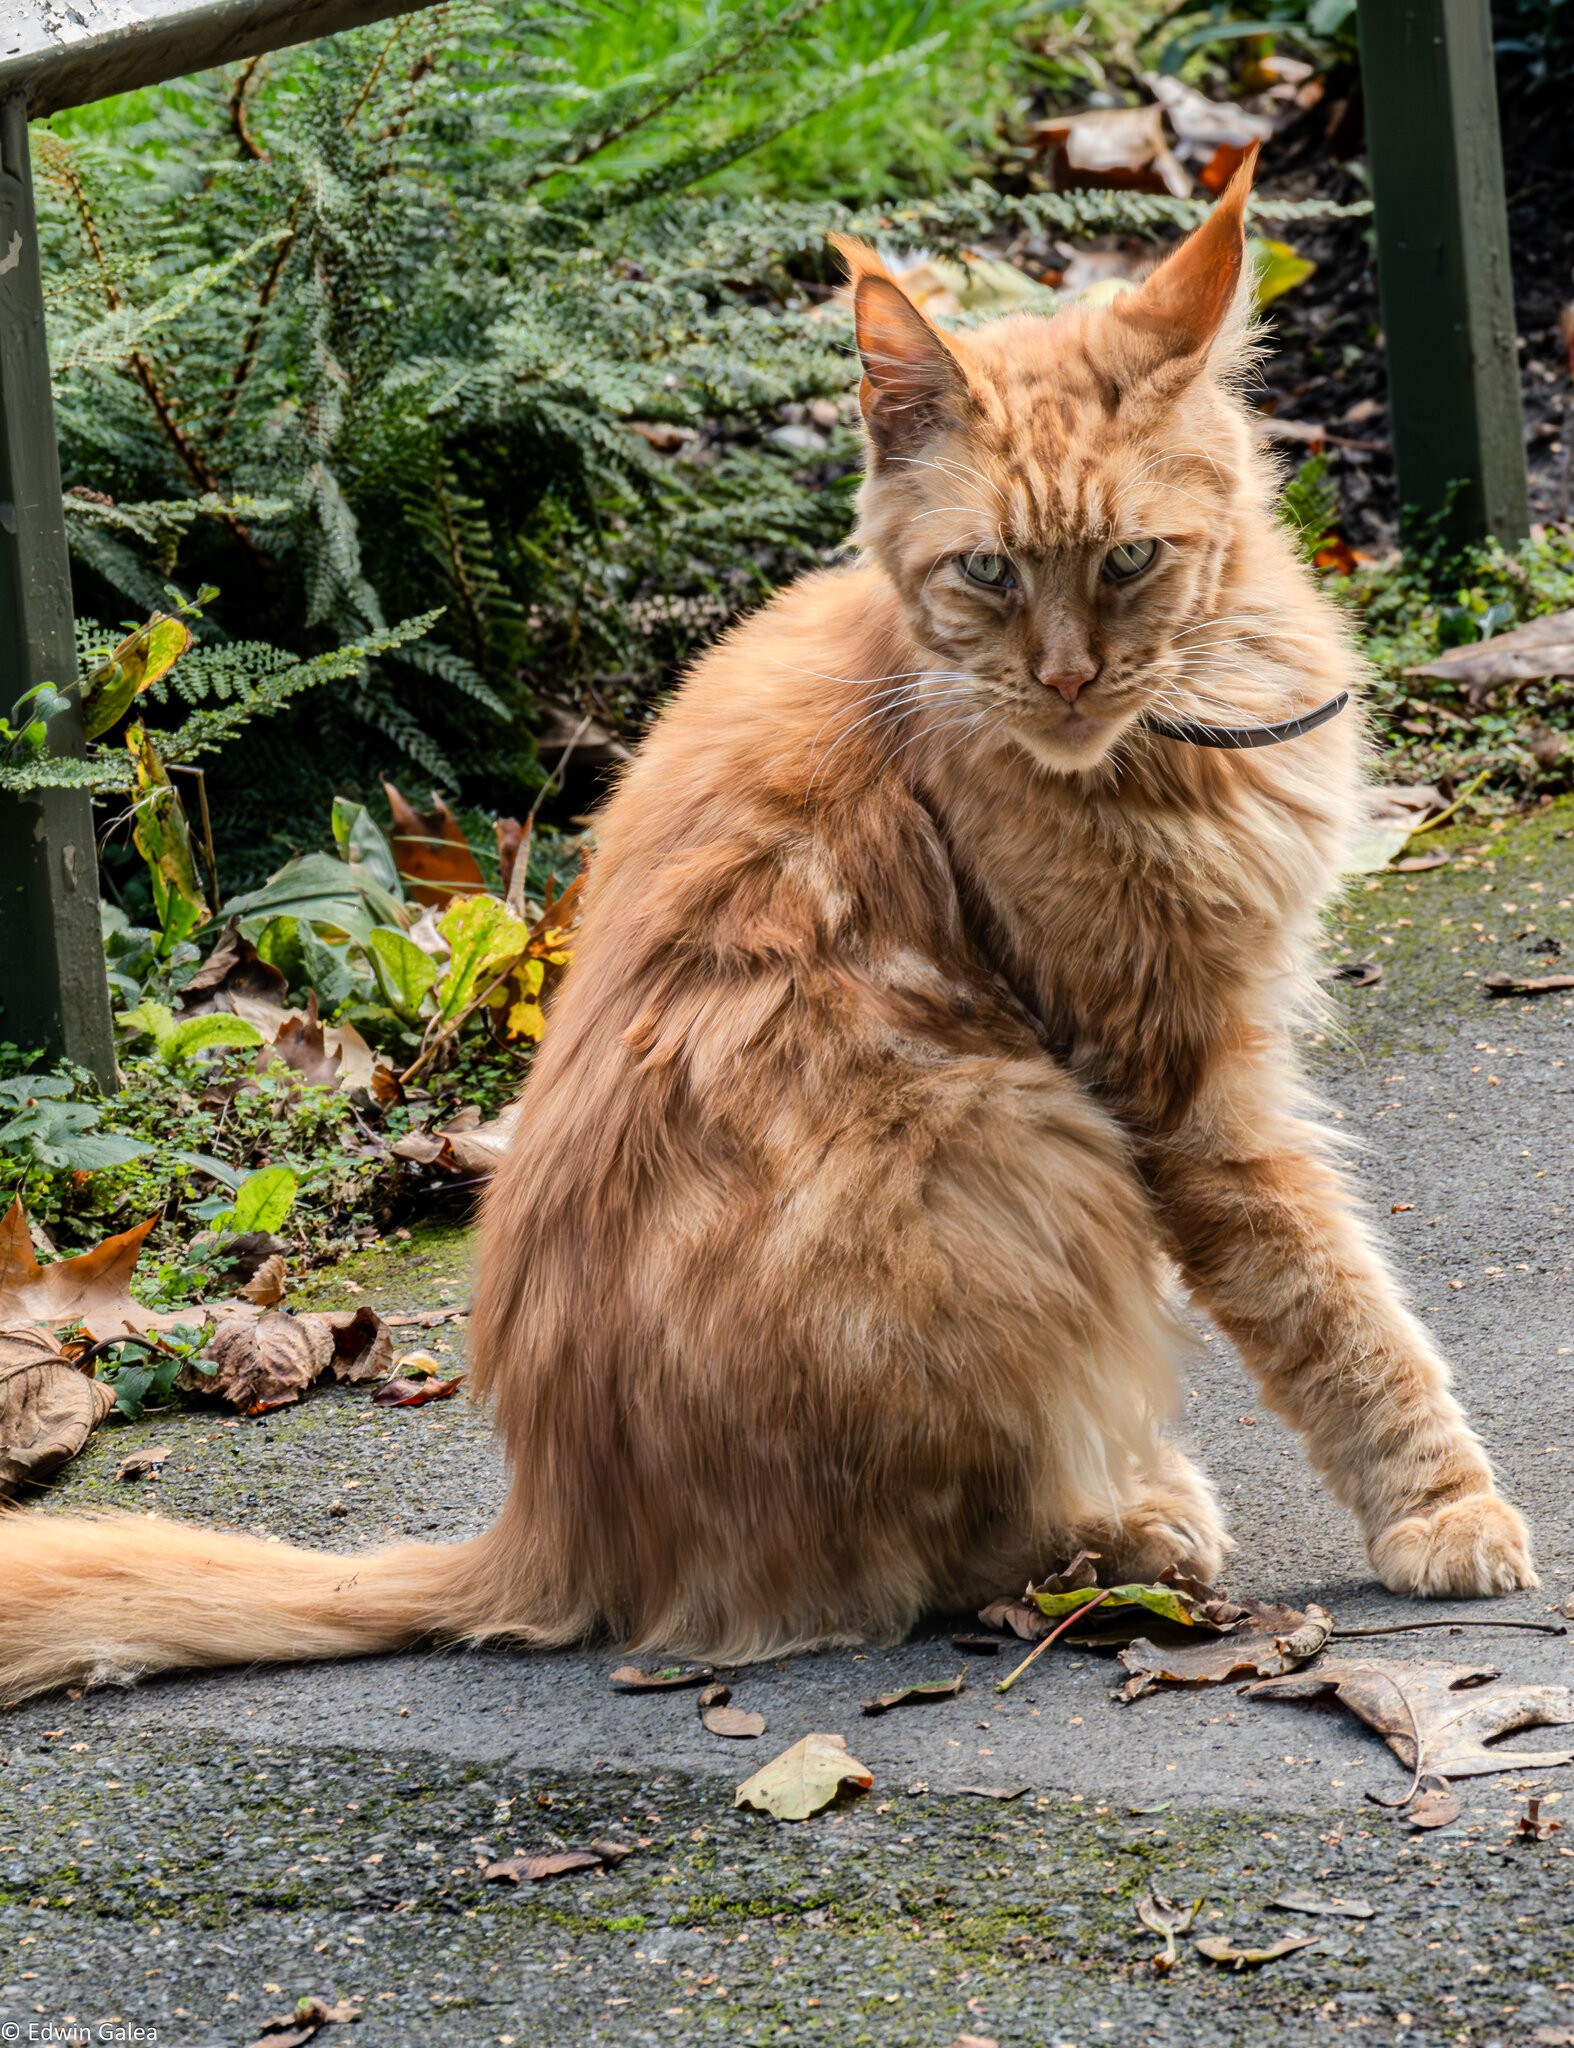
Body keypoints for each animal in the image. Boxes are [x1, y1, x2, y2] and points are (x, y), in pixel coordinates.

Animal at [0, 159, 1531, 1703]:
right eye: (986, 570)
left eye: (1128, 560)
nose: (1059, 678)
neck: (1188, 712)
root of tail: (553, 1521)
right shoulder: (1176, 1079)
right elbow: (1334, 1305)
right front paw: (1442, 1507)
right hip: (1018, 1143)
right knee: (936, 1553)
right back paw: (1123, 1530)